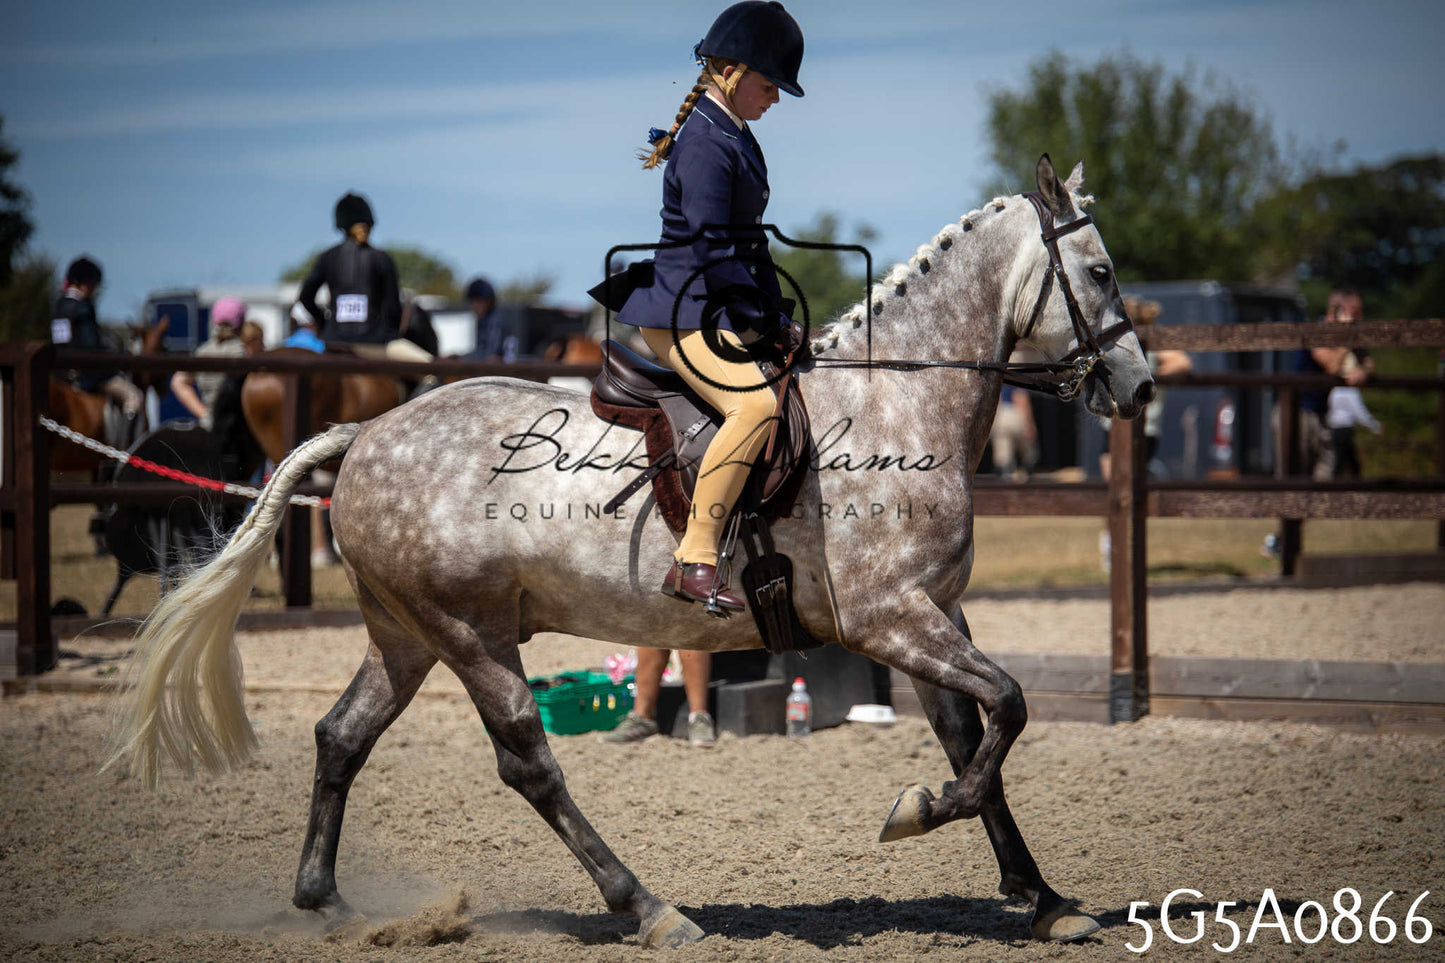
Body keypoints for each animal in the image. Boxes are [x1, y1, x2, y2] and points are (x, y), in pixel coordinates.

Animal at [108, 157, 1154, 947]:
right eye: (1102, 273)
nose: (1141, 389)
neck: (897, 397)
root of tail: (366, 433)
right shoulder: (891, 620)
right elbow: (1006, 710)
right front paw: (921, 811)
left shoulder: (933, 614)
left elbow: (977, 738)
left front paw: (1044, 899)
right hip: (471, 632)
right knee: (528, 762)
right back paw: (649, 908)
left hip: (404, 631)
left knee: (342, 736)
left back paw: (323, 899)